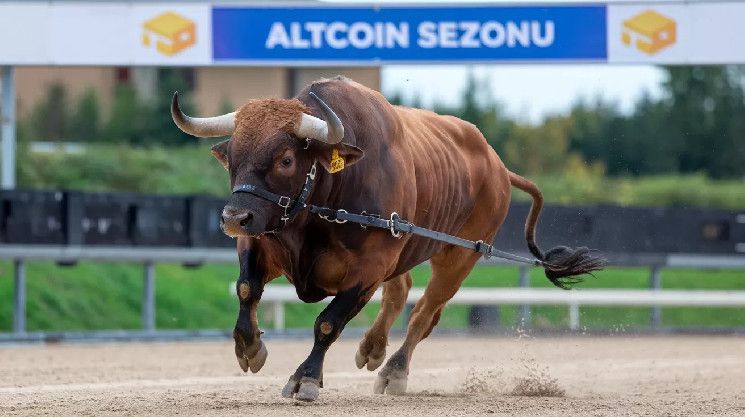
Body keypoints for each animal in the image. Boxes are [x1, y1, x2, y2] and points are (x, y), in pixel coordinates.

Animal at [170, 75, 604, 400]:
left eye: (286, 159)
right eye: (233, 155)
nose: (234, 217)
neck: (325, 202)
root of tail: (498, 167)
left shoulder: (368, 270)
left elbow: (328, 323)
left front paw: (305, 378)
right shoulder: (261, 243)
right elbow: (246, 288)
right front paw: (250, 348)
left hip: (459, 257)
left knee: (425, 313)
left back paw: (394, 371)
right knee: (401, 293)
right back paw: (371, 348)